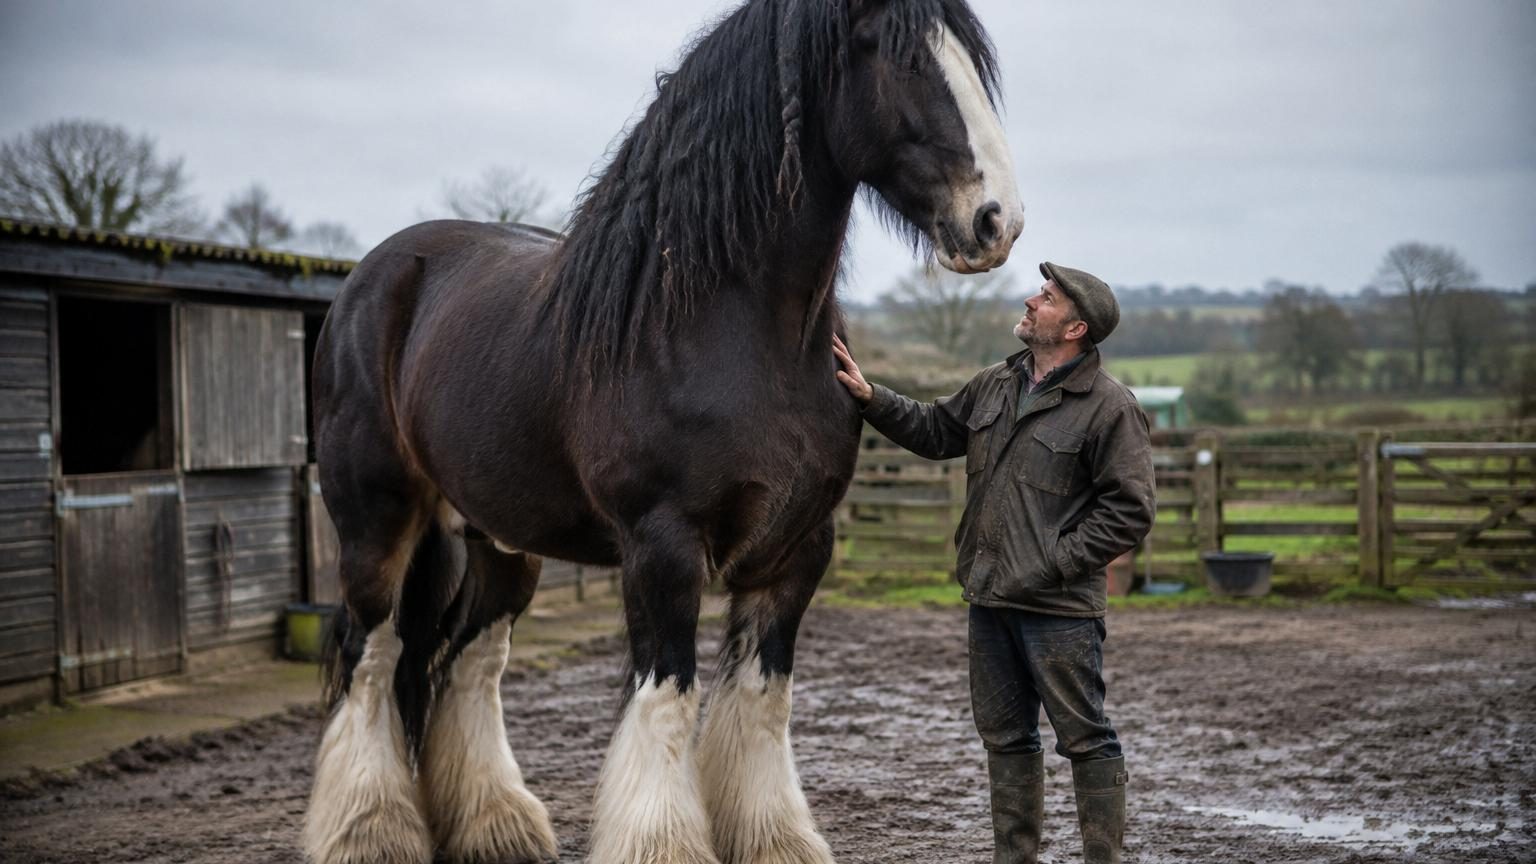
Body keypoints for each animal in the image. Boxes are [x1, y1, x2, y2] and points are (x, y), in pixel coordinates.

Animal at [303, 1, 1022, 862]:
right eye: (904, 58)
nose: (996, 221)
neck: (724, 324)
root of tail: (373, 277)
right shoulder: (661, 546)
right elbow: (670, 698)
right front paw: (663, 842)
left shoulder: (796, 551)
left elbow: (762, 701)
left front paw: (775, 839)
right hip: (376, 523)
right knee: (371, 657)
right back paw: (368, 831)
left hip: (498, 542)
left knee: (469, 663)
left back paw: (496, 827)